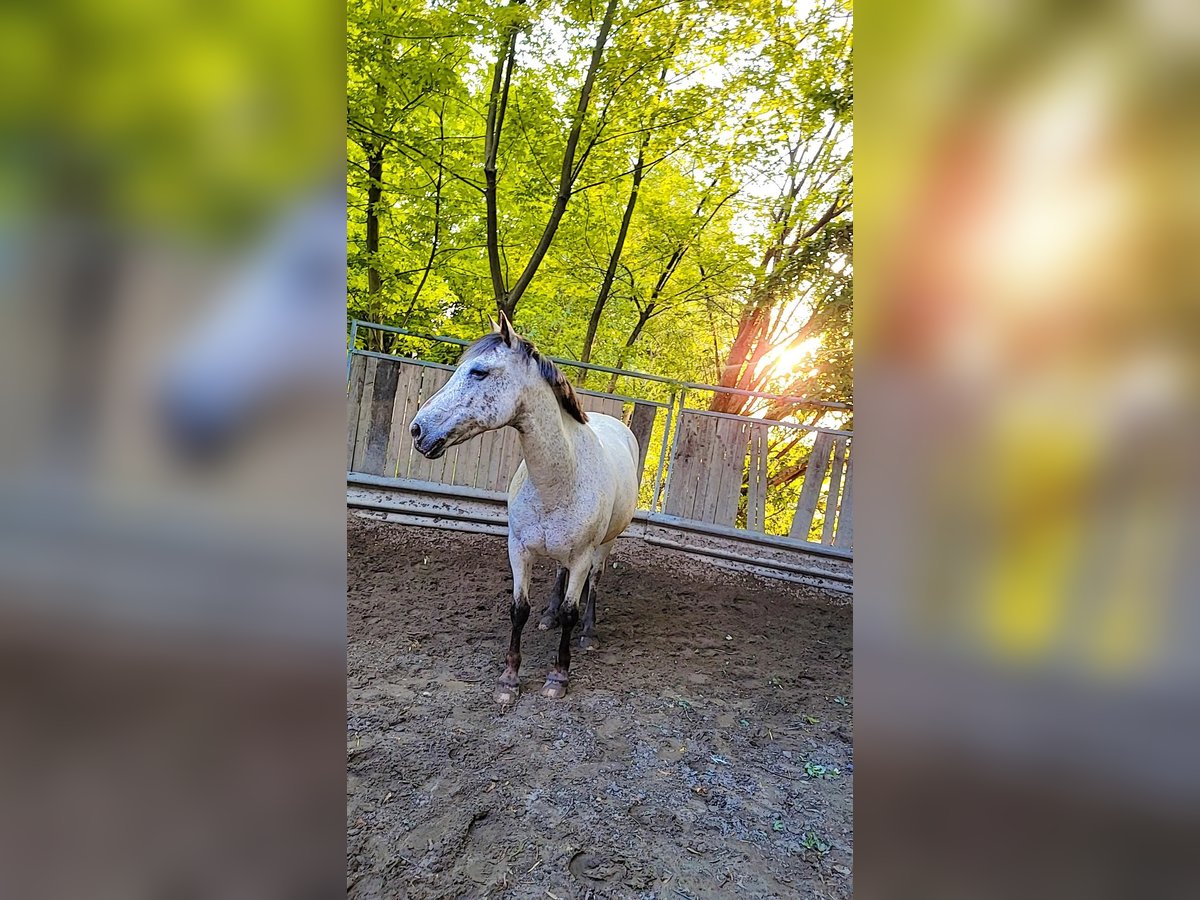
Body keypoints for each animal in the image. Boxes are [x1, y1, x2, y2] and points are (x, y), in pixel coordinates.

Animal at [410, 312, 643, 705]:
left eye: (479, 372)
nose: (417, 429)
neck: (559, 480)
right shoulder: (518, 549)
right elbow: (519, 610)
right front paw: (509, 680)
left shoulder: (582, 555)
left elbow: (571, 611)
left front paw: (558, 677)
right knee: (560, 575)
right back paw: (548, 616)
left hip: (605, 545)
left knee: (594, 583)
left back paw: (589, 633)